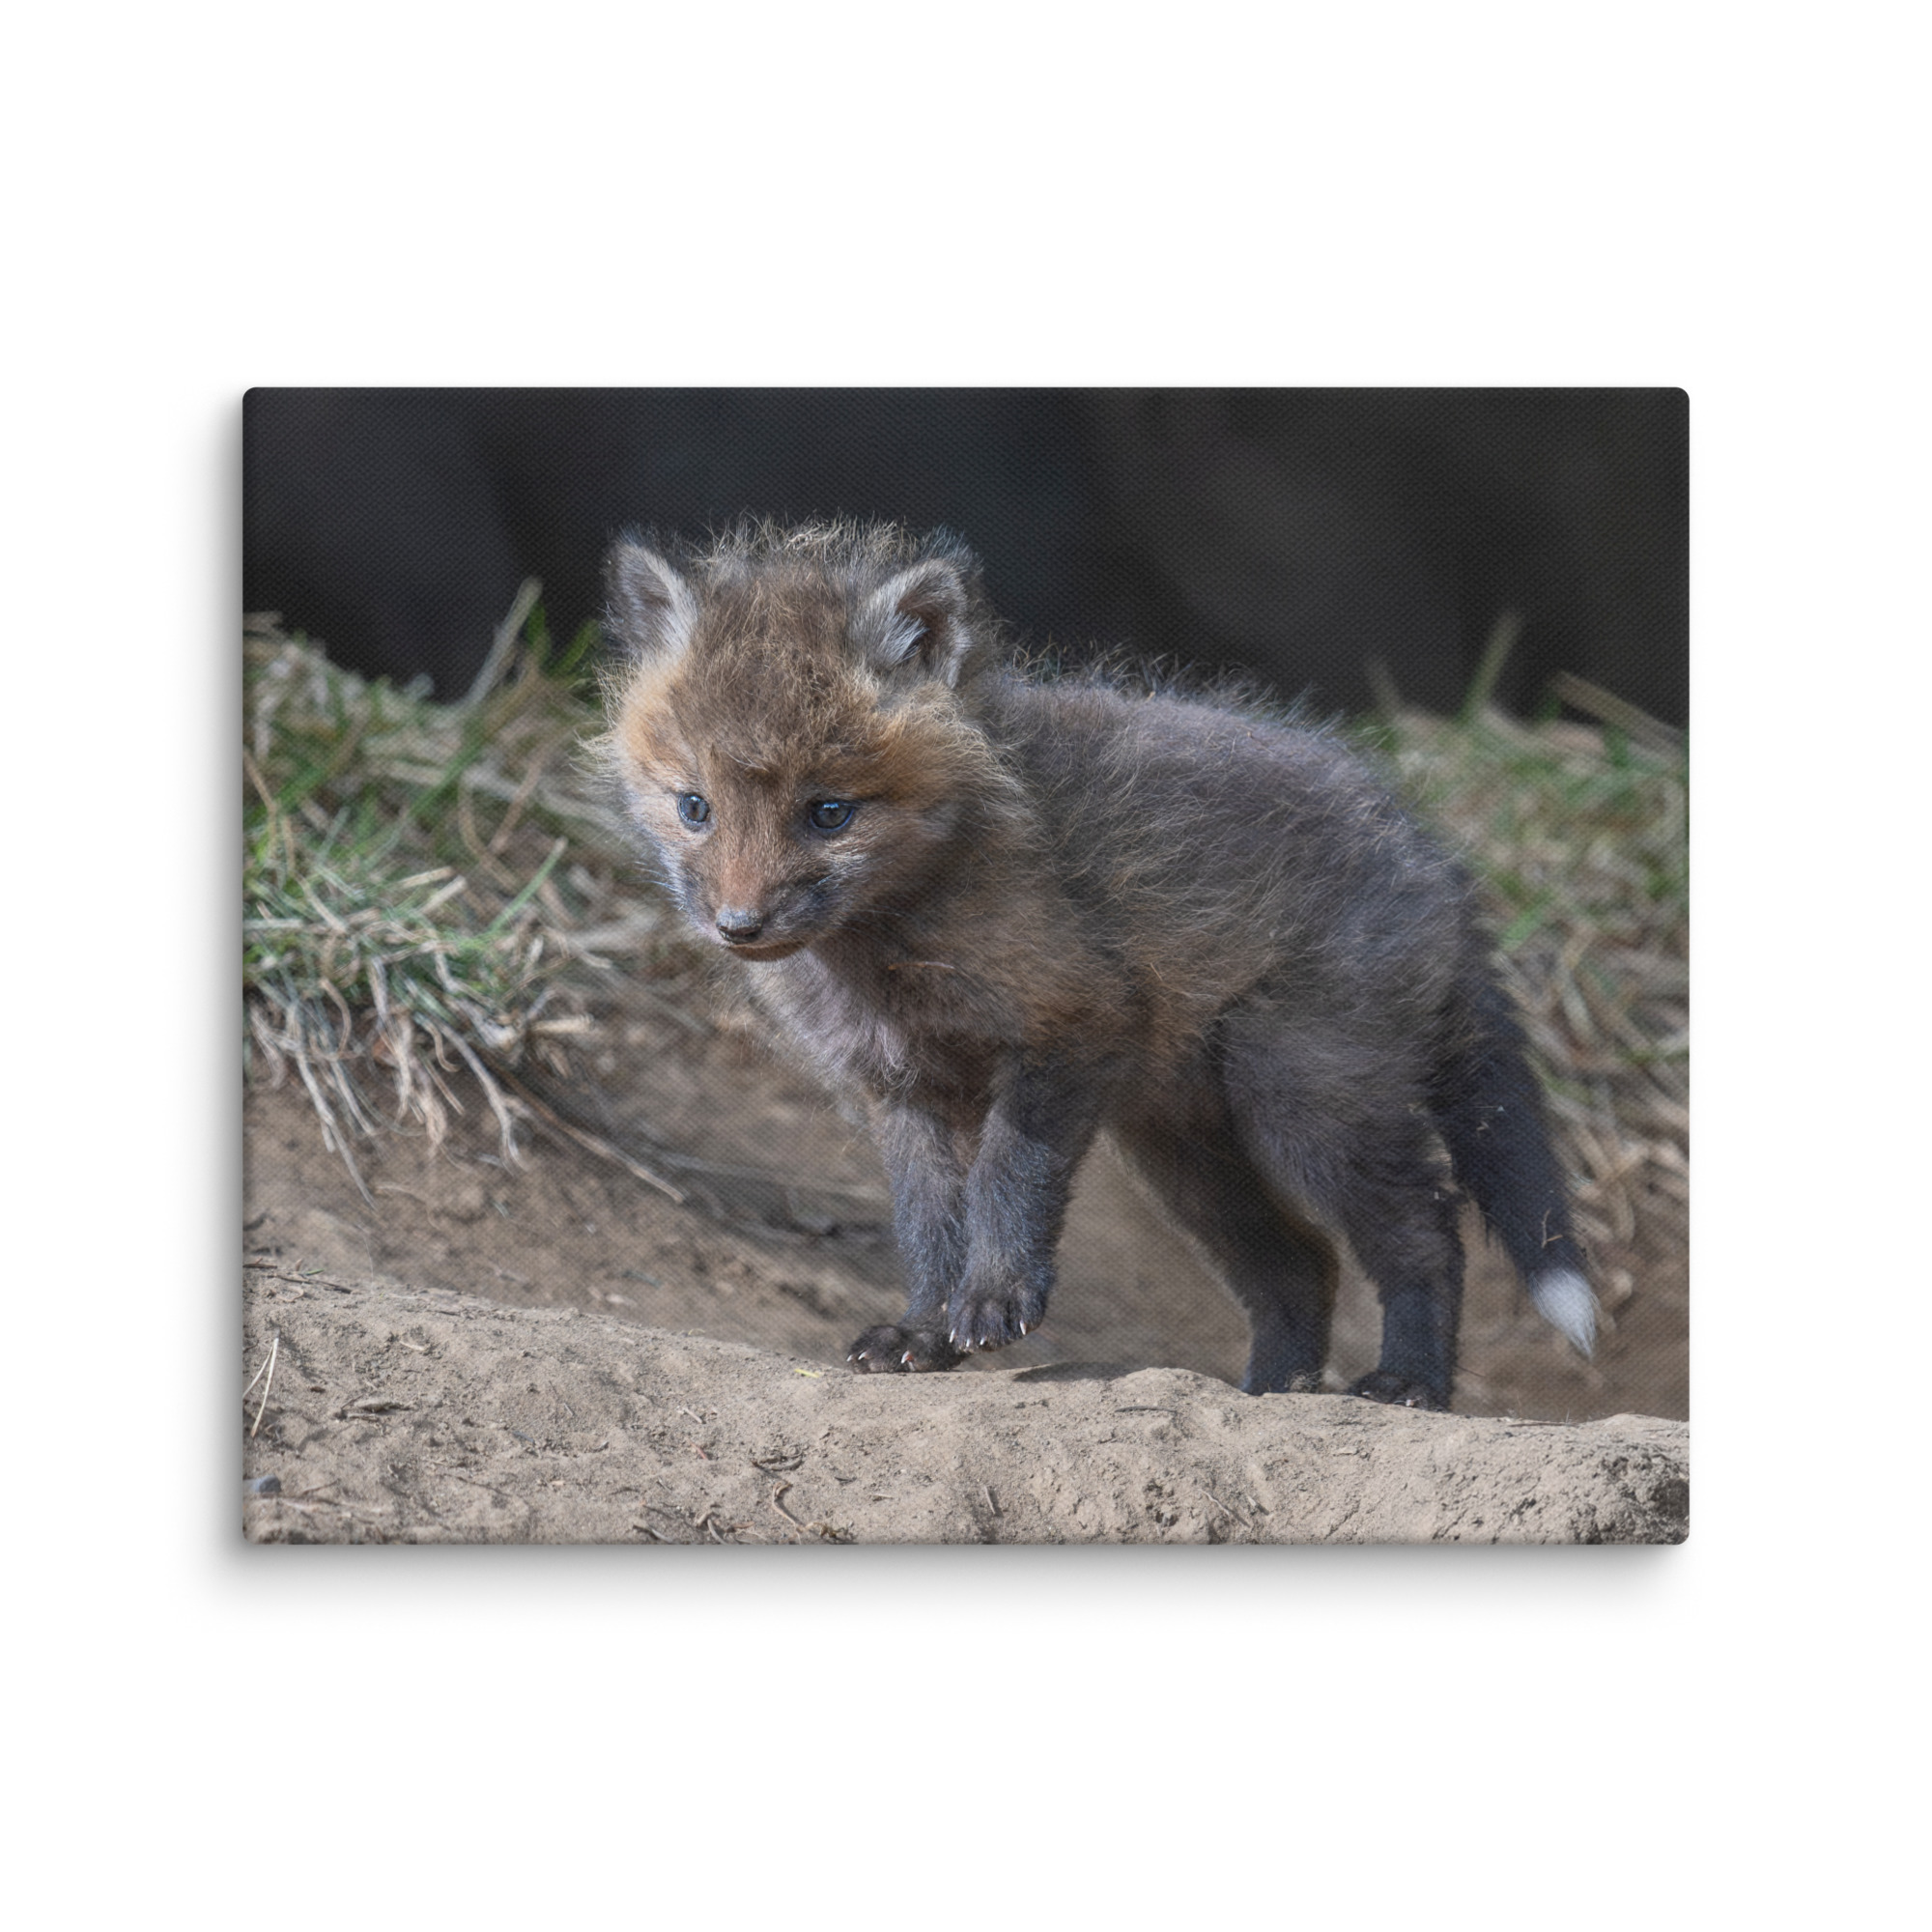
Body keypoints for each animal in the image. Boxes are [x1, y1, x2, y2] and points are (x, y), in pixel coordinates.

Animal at [600, 520, 1597, 1409]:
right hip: (1186, 1149)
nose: (739, 926)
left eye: (829, 812)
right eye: (694, 807)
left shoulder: (1072, 1022)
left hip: (1304, 1099)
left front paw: (995, 1299)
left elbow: (1007, 1178)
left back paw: (1408, 1383)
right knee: (1301, 1265)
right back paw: (1270, 1392)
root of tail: (1435, 858)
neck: (888, 953)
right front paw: (923, 1331)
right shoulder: (901, 1087)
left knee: (1426, 1231)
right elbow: (928, 1225)